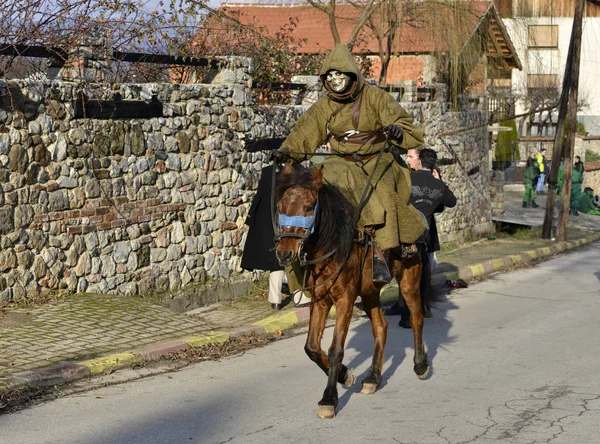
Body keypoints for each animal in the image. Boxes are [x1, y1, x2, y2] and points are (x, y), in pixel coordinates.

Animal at [274, 163, 434, 420]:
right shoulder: (320, 300)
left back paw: (420, 364)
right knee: (381, 326)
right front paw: (345, 375)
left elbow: (335, 350)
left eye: (308, 207)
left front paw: (329, 398)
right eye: (280, 207)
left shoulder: (345, 299)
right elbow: (311, 347)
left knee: (416, 317)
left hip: (409, 278)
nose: (284, 253)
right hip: (369, 292)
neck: (332, 247)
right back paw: (373, 378)